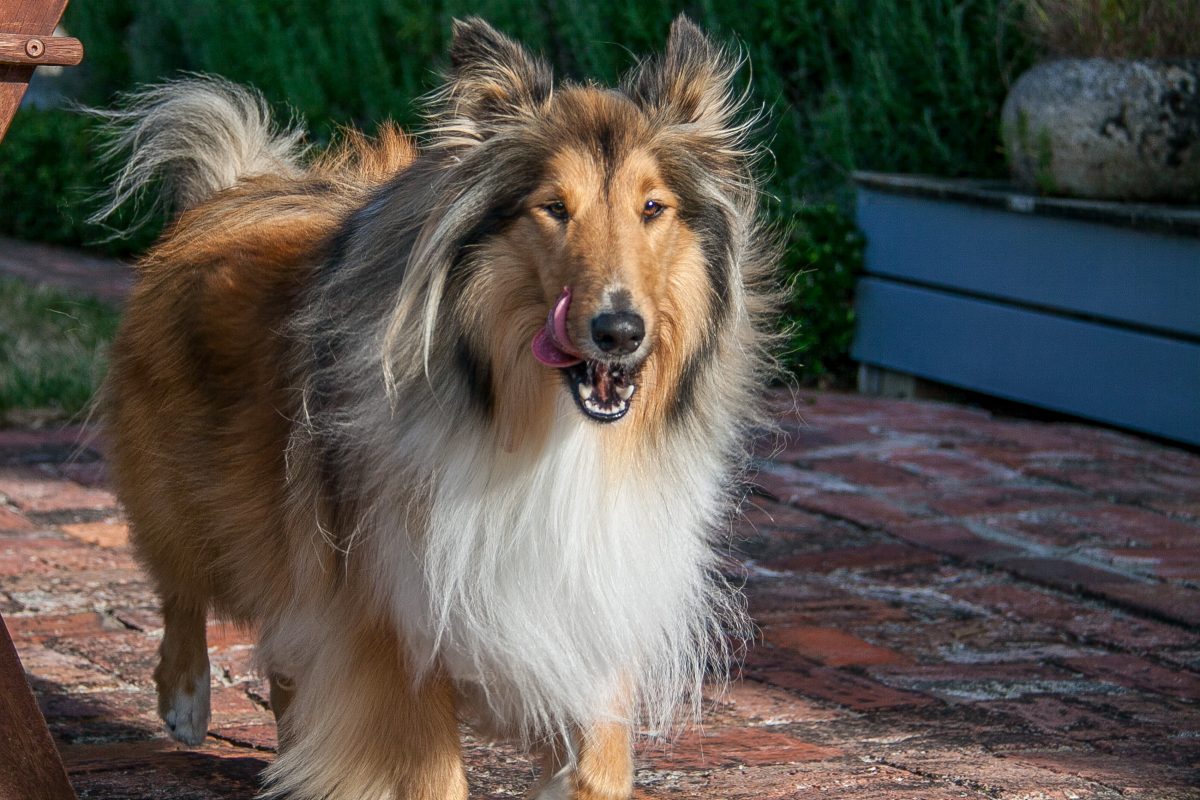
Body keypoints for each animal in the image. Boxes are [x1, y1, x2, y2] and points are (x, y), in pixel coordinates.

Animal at [100, 14, 777, 800]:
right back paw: (185, 701)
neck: (537, 426)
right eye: (554, 208)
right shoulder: (389, 614)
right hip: (195, 498)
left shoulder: (589, 587)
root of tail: (234, 188)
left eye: (652, 208)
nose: (620, 331)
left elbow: (601, 754)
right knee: (180, 583)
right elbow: (427, 770)